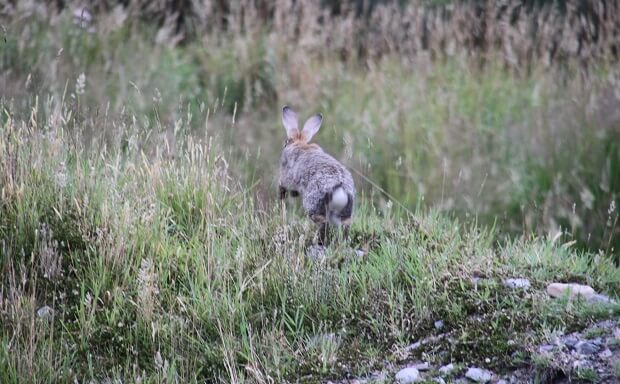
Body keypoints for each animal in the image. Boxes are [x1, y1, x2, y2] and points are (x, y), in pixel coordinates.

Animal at [278, 105, 354, 243]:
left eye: (286, 142)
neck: (300, 143)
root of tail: (339, 188)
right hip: (344, 212)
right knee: (345, 225)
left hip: (314, 204)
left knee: (322, 224)